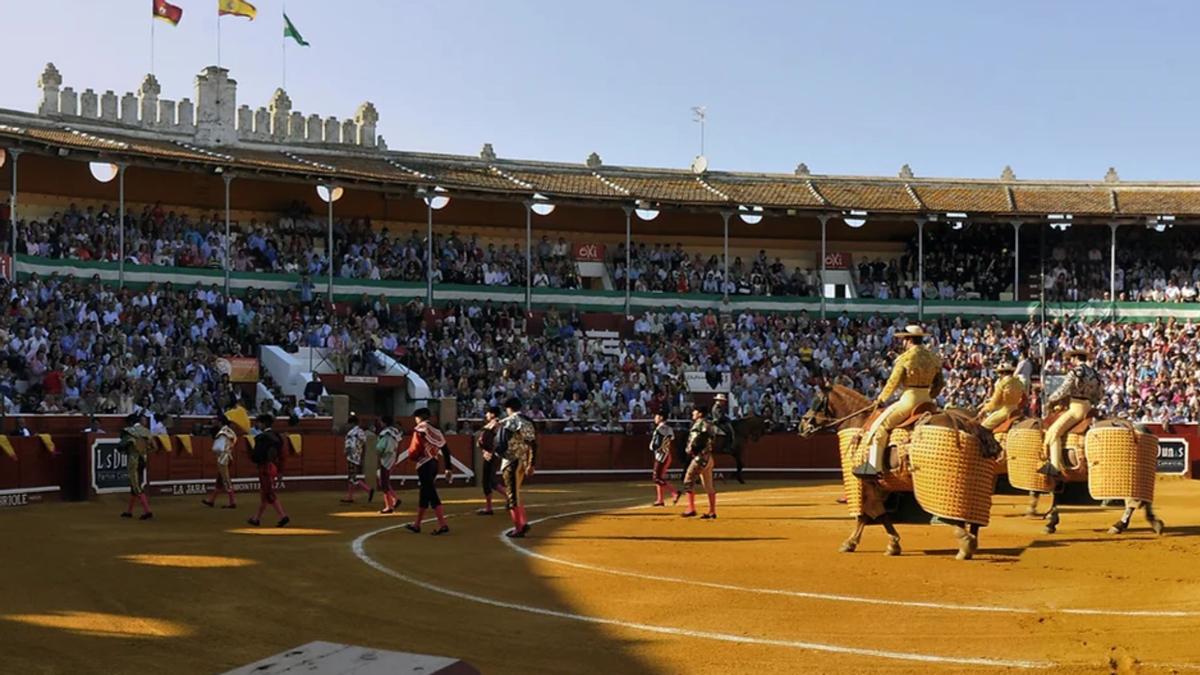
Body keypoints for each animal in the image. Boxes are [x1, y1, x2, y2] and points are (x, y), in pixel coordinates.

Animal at [806, 384, 1003, 557]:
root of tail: (966, 422)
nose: (803, 424)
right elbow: (873, 513)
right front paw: (886, 544)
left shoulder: (866, 481)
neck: (859, 422)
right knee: (974, 515)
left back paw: (965, 543)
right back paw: (971, 544)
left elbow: (870, 513)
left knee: (957, 516)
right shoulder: (881, 484)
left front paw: (856, 543)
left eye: (816, 401)